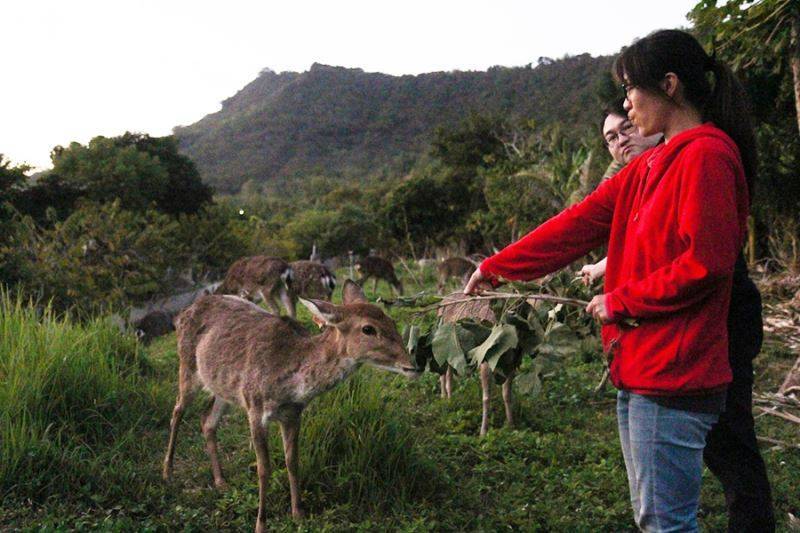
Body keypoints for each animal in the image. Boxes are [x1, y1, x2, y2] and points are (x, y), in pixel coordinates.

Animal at [159, 280, 416, 528]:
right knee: (177, 410)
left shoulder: (292, 413)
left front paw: (298, 514)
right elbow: (264, 469)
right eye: (368, 329)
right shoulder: (255, 408)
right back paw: (167, 472)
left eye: (391, 320)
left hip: (224, 387)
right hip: (188, 366)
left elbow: (292, 461)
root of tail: (181, 314)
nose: (412, 366)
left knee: (207, 420)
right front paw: (261, 524)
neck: (289, 382)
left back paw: (220, 480)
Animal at [438, 290, 512, 436]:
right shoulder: (484, 363)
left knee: (448, 373)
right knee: (444, 373)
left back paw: (449, 399)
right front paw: (483, 432)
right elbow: (486, 397)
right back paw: (445, 399)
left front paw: (511, 424)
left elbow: (507, 394)